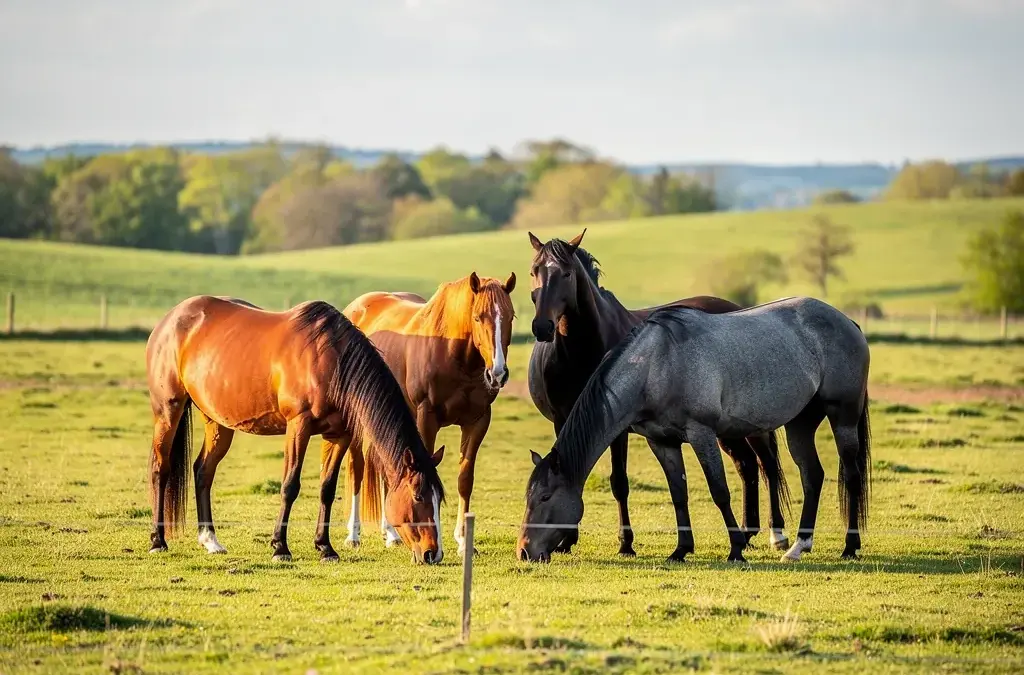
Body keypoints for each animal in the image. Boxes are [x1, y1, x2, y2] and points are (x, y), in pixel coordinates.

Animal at [145, 295, 446, 565]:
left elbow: (327, 488)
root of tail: (171, 319)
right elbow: (290, 485)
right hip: (167, 411)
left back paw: (210, 541)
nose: (433, 554)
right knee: (161, 468)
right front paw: (280, 547)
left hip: (217, 421)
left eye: (439, 498)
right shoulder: (298, 426)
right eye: (418, 495)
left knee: (203, 472)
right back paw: (158, 541)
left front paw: (325, 548)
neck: (330, 361)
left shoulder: (339, 435)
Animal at [338, 272, 516, 555]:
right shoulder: (427, 419)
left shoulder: (477, 421)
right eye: (478, 317)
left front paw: (464, 541)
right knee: (357, 467)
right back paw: (353, 535)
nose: (497, 373)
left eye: (510, 317)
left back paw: (392, 534)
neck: (453, 352)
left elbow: (465, 479)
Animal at [518, 296, 871, 564]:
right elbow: (679, 493)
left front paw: (736, 550)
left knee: (851, 475)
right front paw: (681, 549)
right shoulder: (662, 442)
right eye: (529, 497)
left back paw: (849, 546)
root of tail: (848, 322)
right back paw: (799, 546)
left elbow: (719, 491)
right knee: (812, 475)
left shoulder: (702, 435)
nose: (524, 551)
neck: (656, 365)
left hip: (842, 417)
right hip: (800, 424)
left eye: (546, 497)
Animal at [526, 230, 790, 558]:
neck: (580, 352)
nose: (542, 326)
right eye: (534, 271)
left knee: (766, 464)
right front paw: (567, 540)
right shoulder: (563, 421)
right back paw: (747, 531)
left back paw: (776, 533)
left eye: (566, 273)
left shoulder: (617, 428)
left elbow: (619, 483)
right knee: (747, 465)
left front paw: (626, 544)